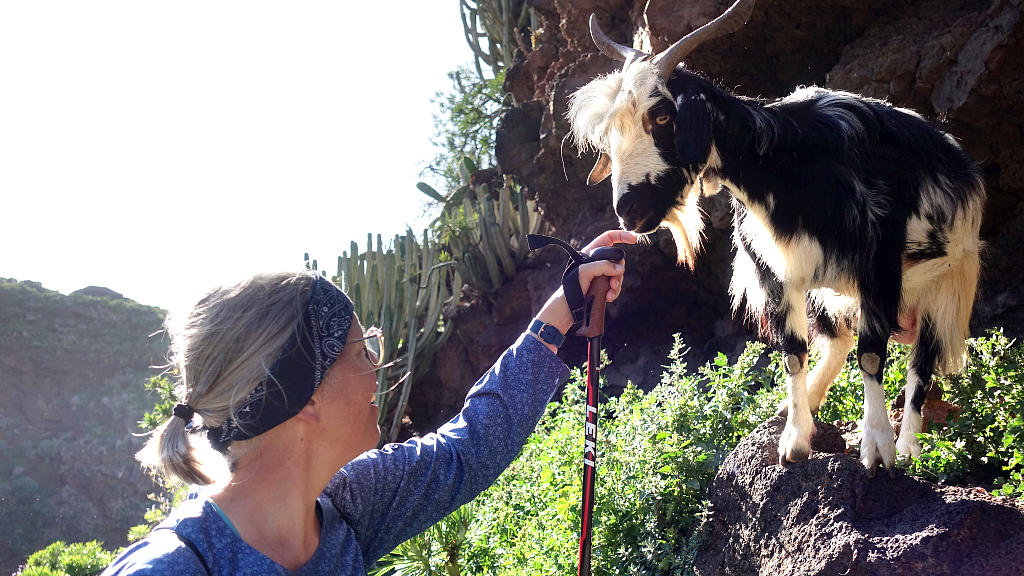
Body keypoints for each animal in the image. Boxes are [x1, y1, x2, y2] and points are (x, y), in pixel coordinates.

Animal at [569, 1, 983, 471]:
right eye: (609, 131)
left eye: (661, 114)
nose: (628, 210)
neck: (790, 164)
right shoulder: (776, 273)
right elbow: (792, 354)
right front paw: (795, 441)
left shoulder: (878, 266)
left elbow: (872, 354)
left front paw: (878, 449)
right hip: (830, 292)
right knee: (838, 342)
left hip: (945, 288)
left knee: (919, 364)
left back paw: (911, 445)